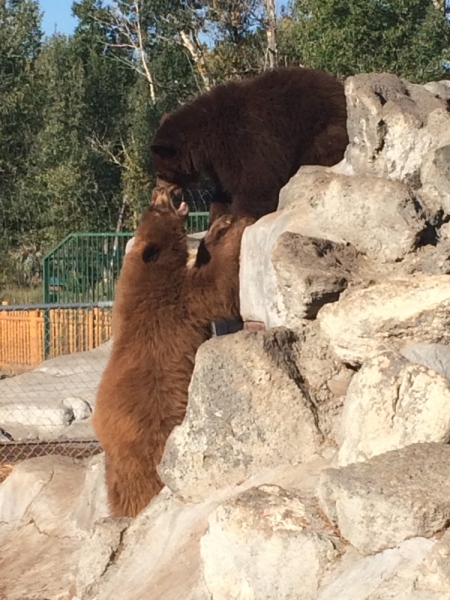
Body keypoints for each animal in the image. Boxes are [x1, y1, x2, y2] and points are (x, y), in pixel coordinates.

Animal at [93, 186, 251, 516]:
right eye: (154, 207)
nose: (162, 189)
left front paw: (220, 225)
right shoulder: (174, 300)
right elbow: (216, 287)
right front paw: (238, 225)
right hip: (147, 441)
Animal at [151, 66, 348, 220]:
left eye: (161, 173)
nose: (159, 189)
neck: (204, 144)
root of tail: (339, 87)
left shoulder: (243, 142)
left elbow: (254, 184)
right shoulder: (219, 161)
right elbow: (223, 191)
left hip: (321, 129)